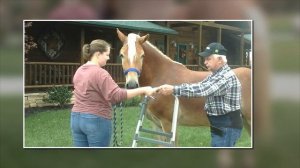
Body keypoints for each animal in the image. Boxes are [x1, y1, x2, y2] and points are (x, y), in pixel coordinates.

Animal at [116, 28, 252, 146]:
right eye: (121, 55)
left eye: (142, 55)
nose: (132, 84)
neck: (160, 75)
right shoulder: (157, 125)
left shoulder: (169, 124)